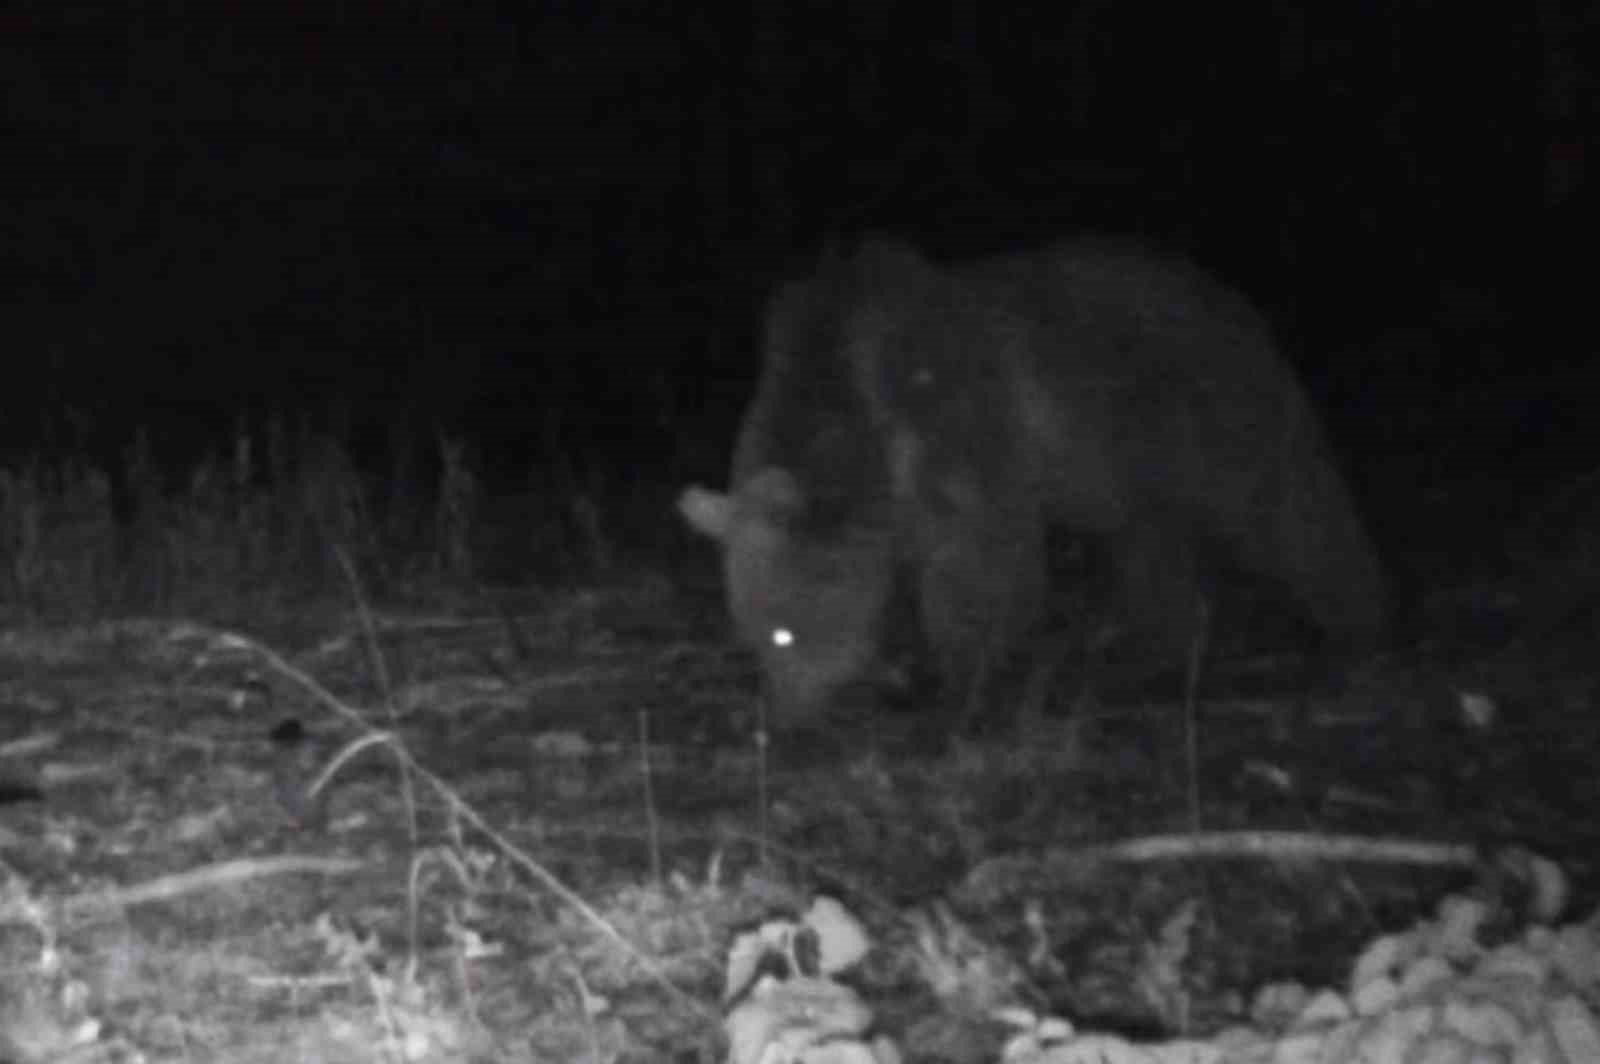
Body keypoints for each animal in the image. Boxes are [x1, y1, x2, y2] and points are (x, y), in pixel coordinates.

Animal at [681, 236, 1382, 729]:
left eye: (785, 632)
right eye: (751, 632)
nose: (787, 726)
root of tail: (1230, 297)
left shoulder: (960, 431)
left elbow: (982, 570)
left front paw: (963, 691)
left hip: (1210, 413)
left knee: (1289, 513)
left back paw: (1358, 636)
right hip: (1133, 471)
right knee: (1154, 547)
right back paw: (1150, 659)